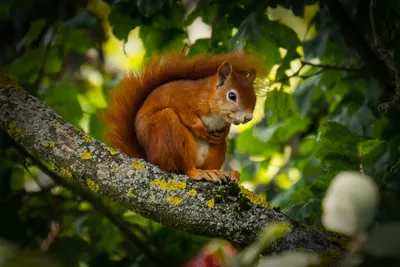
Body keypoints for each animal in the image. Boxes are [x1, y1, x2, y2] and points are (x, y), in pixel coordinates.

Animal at [103, 51, 264, 183]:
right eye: (232, 96)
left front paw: (222, 133)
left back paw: (221, 172)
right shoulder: (181, 98)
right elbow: (187, 116)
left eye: (254, 98)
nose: (248, 118)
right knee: (182, 169)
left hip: (216, 150)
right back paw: (198, 173)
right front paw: (201, 129)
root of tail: (149, 158)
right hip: (167, 129)